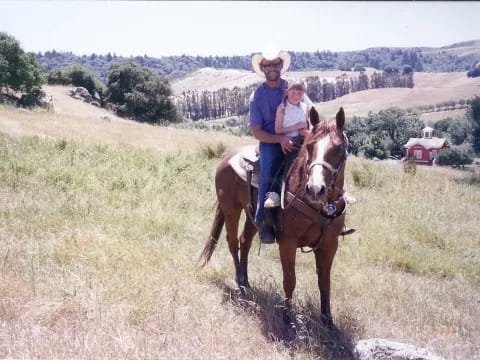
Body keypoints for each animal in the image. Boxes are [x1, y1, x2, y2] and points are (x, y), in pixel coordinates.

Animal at [199, 105, 348, 324]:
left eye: (338, 149)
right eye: (310, 147)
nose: (315, 189)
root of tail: (227, 158)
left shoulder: (330, 245)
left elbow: (324, 282)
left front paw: (327, 321)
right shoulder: (288, 242)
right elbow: (290, 279)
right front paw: (287, 318)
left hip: (254, 216)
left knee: (245, 241)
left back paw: (246, 282)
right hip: (231, 209)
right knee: (233, 242)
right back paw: (240, 283)